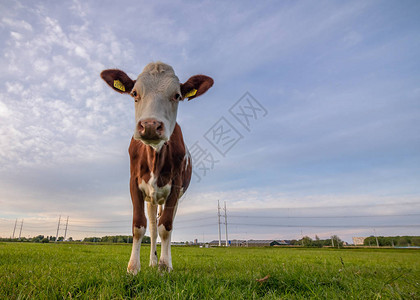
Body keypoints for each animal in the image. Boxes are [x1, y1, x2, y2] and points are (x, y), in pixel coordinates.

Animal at [101, 61, 213, 274]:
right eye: (134, 93)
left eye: (177, 95)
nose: (150, 125)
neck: (155, 154)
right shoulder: (134, 183)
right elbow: (139, 225)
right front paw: (133, 267)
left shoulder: (175, 187)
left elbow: (166, 227)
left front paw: (164, 266)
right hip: (151, 199)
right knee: (152, 227)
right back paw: (152, 261)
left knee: (165, 225)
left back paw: (163, 261)